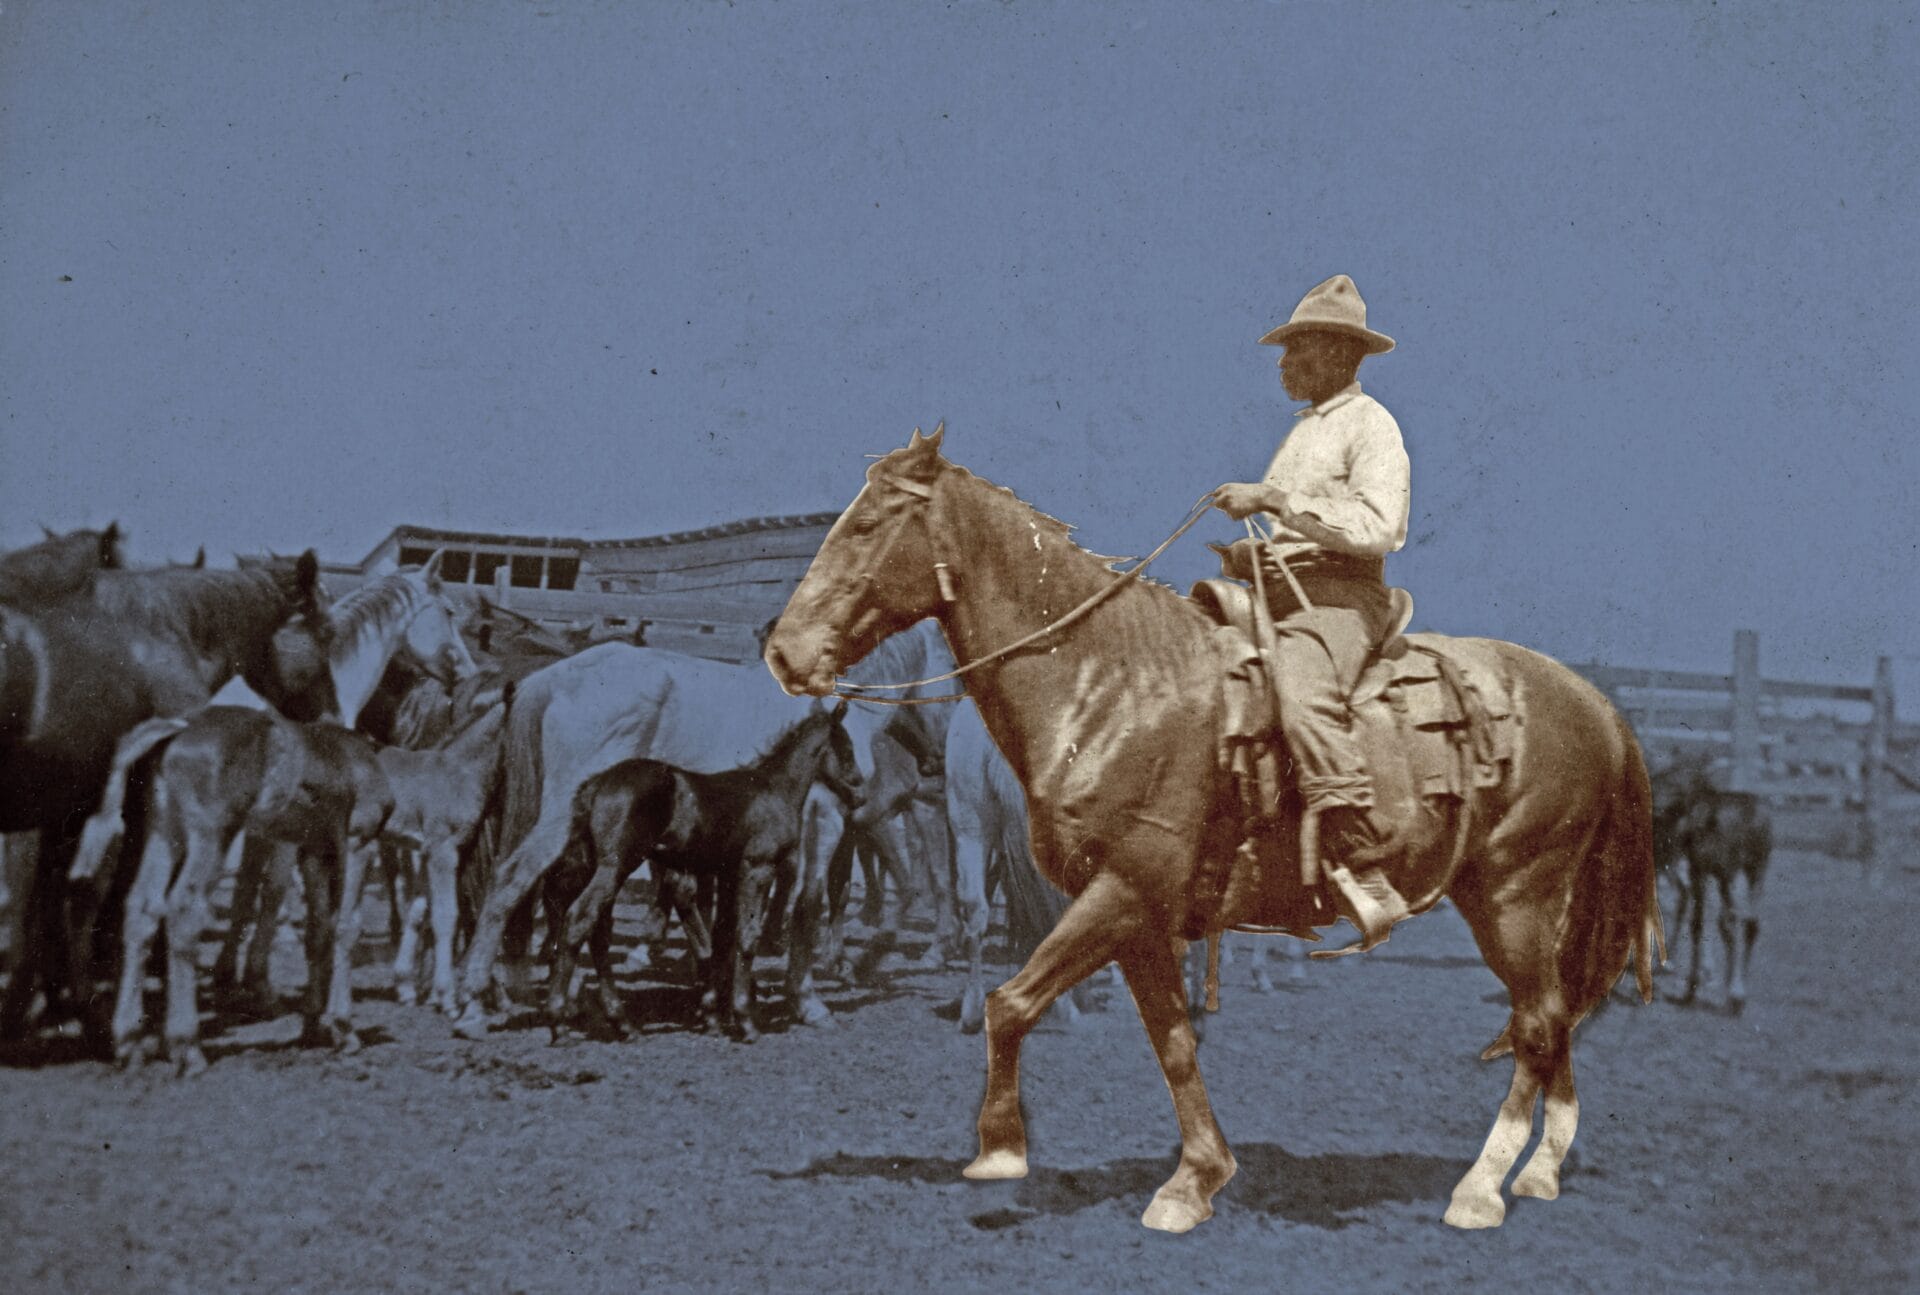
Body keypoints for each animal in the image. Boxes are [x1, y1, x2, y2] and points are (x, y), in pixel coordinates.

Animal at [764, 426, 1666, 1229]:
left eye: (870, 522)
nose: (782, 650)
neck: (1109, 685)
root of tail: (1595, 702)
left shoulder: (1123, 887)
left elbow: (1010, 1003)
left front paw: (1000, 1149)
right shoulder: (1137, 914)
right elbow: (1172, 1043)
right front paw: (1194, 1180)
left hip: (1519, 891)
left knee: (1538, 1023)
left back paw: (1479, 1190)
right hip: (1508, 897)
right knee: (1549, 1016)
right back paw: (1541, 1168)